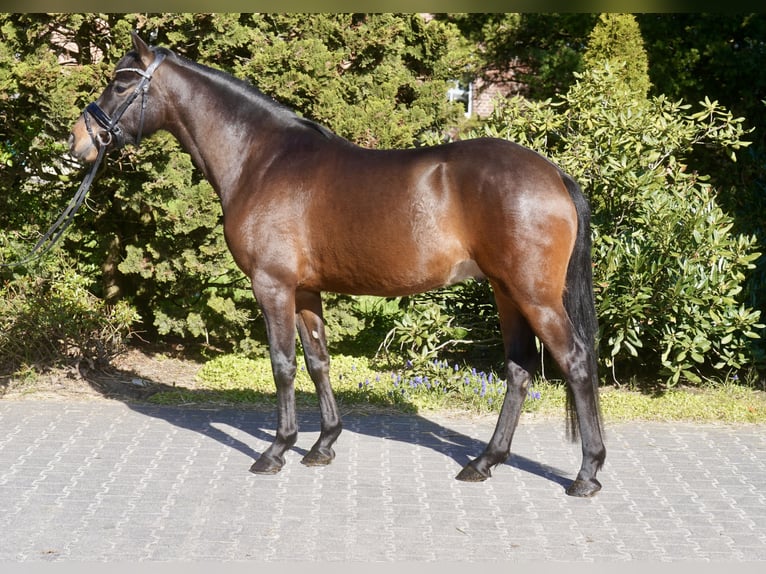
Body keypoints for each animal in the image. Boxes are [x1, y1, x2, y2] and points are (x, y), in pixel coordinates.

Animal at [69, 32, 605, 497]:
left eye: (121, 83)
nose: (78, 142)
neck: (261, 160)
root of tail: (554, 174)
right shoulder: (305, 290)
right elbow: (317, 361)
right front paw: (322, 445)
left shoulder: (272, 286)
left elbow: (282, 364)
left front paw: (277, 450)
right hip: (506, 291)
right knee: (519, 370)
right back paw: (484, 462)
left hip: (533, 294)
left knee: (576, 361)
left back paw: (587, 473)